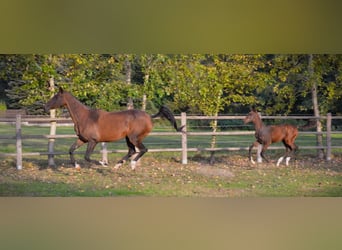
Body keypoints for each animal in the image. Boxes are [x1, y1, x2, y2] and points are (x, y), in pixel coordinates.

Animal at [46, 87, 184, 169]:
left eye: (56, 97)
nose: (45, 106)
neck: (85, 117)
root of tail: (149, 116)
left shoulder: (93, 141)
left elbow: (87, 157)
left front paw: (103, 163)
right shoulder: (82, 139)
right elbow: (71, 150)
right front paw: (76, 166)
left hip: (134, 138)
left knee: (143, 149)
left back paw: (132, 164)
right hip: (128, 138)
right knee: (132, 151)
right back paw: (118, 165)